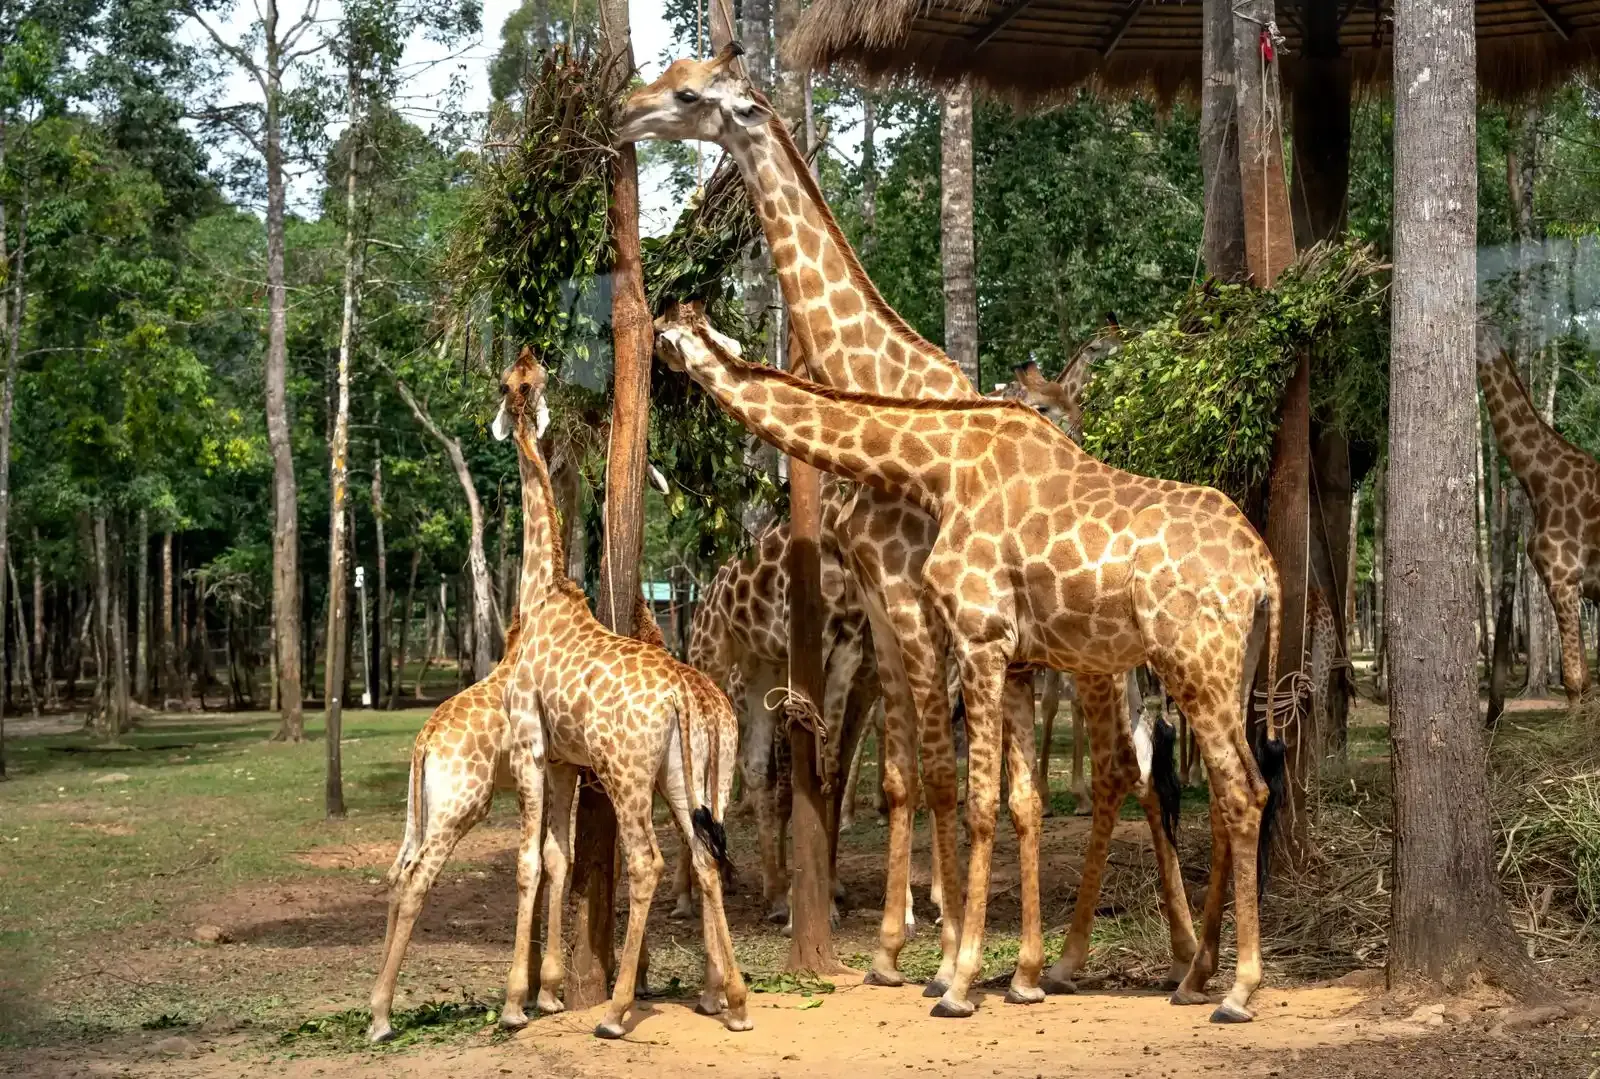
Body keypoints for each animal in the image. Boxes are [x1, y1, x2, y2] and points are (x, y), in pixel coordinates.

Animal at [492, 348, 749, 1038]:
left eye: (513, 381)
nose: (527, 356)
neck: (540, 592)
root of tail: (685, 698)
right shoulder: (560, 759)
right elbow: (559, 858)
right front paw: (549, 993)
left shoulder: (528, 744)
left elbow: (528, 860)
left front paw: (515, 1003)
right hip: (688, 778)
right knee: (706, 857)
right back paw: (733, 1002)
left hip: (629, 772)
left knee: (650, 861)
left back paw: (615, 1011)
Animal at [653, 306, 1285, 1022]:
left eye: (665, 338)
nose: (658, 370)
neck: (942, 466)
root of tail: (1264, 571)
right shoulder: (1011, 656)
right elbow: (1019, 800)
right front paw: (1021, 977)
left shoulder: (978, 636)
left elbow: (977, 800)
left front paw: (956, 983)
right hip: (1229, 668)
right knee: (1233, 790)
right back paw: (1193, 975)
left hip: (1191, 663)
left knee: (1233, 789)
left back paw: (1236, 990)